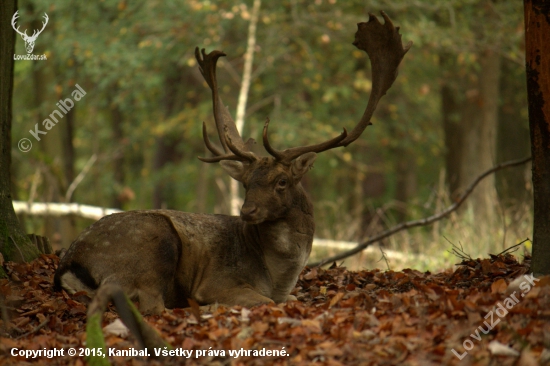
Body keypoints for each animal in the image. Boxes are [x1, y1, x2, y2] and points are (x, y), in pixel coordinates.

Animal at [55, 11, 410, 314]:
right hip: (152, 246)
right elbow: (266, 302)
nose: (247, 210)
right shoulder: (220, 281)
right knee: (154, 304)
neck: (279, 276)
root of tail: (69, 263)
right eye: (247, 182)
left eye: (281, 182)